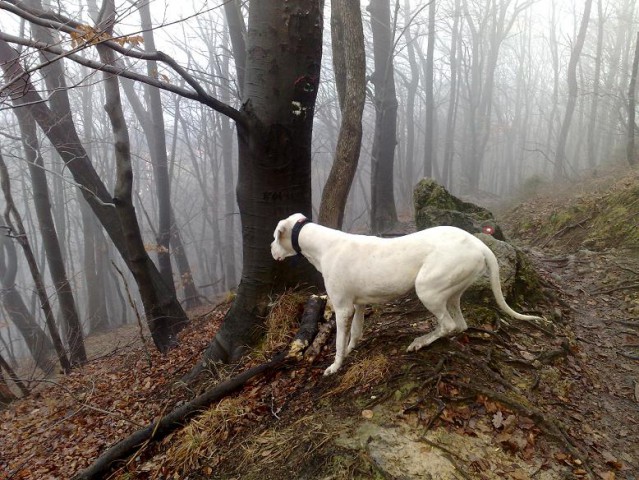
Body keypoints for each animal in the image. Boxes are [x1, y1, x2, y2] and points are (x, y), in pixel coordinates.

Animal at [270, 213, 544, 376]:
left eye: (275, 237)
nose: (270, 250)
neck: (324, 246)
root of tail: (479, 244)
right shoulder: (357, 306)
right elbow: (355, 333)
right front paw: (350, 350)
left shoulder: (342, 308)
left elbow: (338, 342)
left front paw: (335, 366)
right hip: (451, 292)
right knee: (459, 325)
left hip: (427, 289)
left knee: (447, 325)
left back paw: (420, 341)